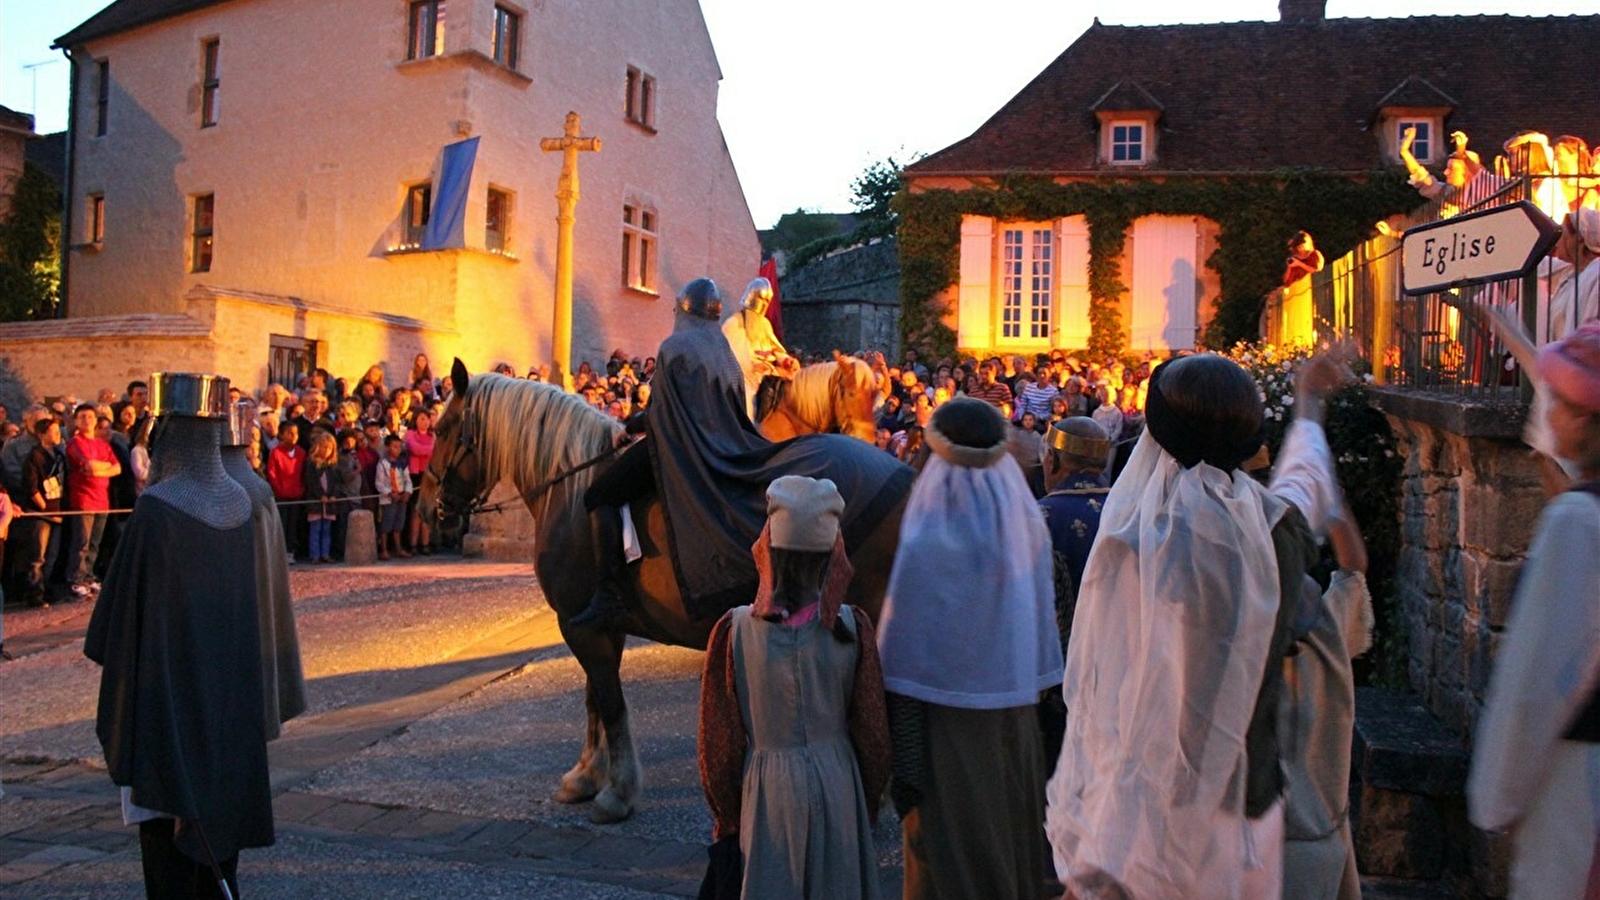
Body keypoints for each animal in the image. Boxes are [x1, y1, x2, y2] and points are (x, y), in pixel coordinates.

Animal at [419, 357, 908, 819]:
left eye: (441, 429)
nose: (426, 507)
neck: (570, 489)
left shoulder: (580, 625)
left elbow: (609, 702)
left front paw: (616, 792)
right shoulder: (598, 626)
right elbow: (595, 699)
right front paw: (586, 776)